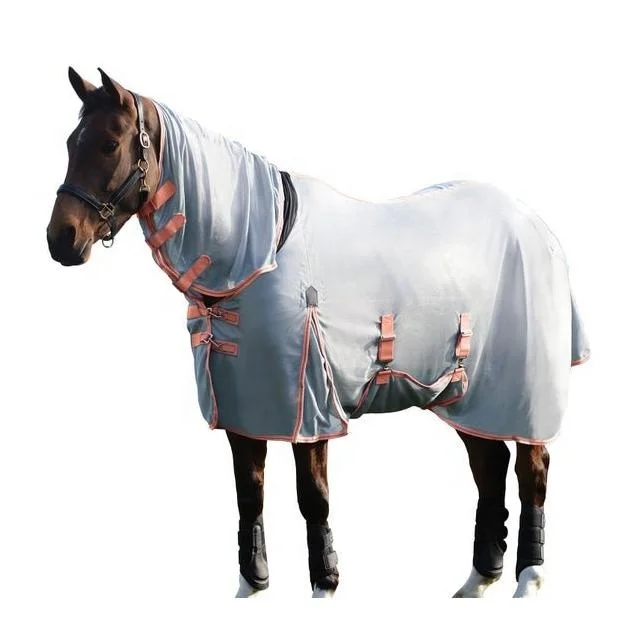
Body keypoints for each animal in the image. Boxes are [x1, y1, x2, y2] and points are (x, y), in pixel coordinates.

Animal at [47, 68, 590, 598]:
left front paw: (324, 584)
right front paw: (254, 583)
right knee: (490, 466)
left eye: (110, 144)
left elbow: (314, 500)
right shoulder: (246, 411)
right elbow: (250, 496)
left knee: (532, 470)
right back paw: (479, 580)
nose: (61, 239)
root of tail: (539, 228)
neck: (260, 250)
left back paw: (529, 578)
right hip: (467, 397)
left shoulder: (309, 409)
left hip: (520, 394)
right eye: (72, 142)